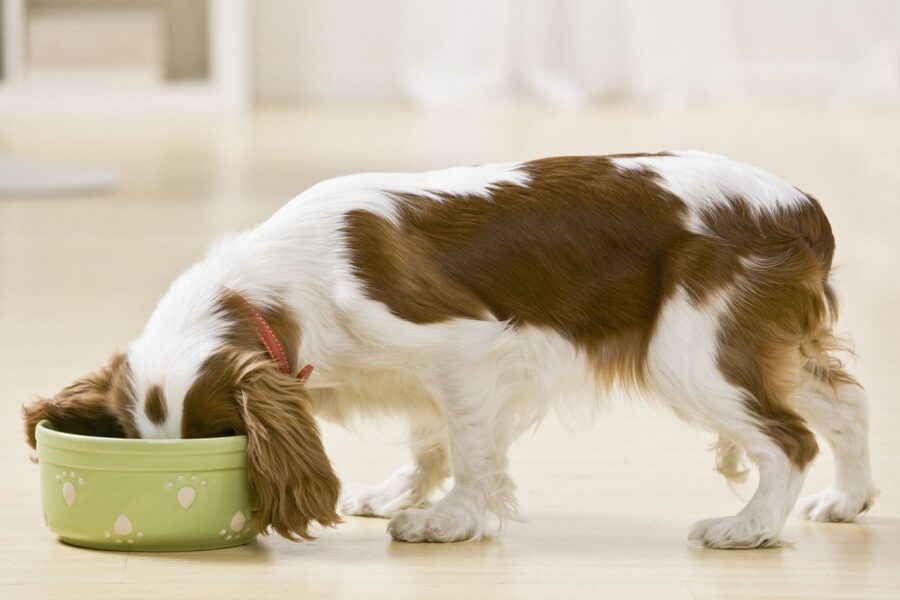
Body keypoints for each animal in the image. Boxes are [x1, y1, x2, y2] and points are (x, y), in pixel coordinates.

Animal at [22, 151, 880, 548]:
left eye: (220, 439)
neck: (273, 290)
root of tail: (801, 207)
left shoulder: (464, 351)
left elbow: (469, 449)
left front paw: (448, 520)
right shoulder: (424, 378)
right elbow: (430, 438)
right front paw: (403, 491)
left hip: (691, 353)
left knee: (788, 439)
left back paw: (748, 528)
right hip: (762, 345)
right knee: (842, 403)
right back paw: (849, 499)